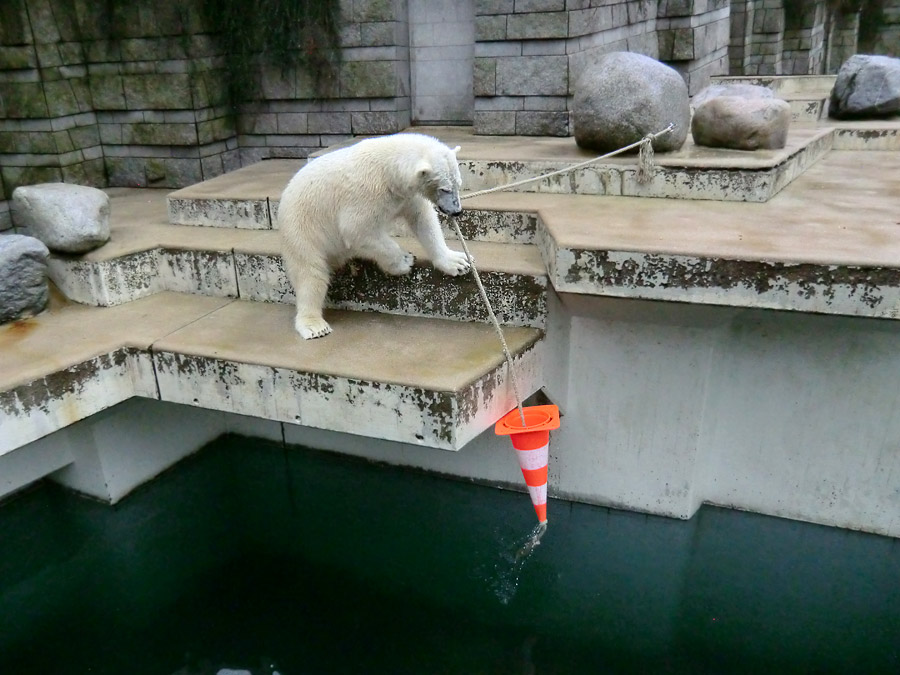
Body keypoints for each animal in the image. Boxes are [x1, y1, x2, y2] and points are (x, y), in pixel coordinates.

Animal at [278, 132, 468, 340]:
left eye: (458, 184)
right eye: (444, 189)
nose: (457, 211)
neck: (388, 170)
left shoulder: (405, 196)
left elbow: (423, 220)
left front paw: (458, 262)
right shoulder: (366, 195)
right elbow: (356, 230)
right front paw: (405, 260)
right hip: (302, 229)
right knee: (310, 273)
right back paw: (314, 325)